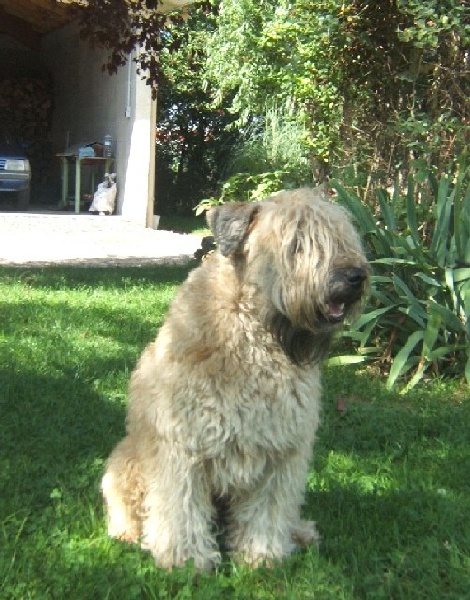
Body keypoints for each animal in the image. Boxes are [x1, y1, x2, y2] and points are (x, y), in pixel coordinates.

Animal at [101, 187, 369, 570]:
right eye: (297, 242)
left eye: (341, 235)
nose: (355, 276)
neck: (254, 336)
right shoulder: (184, 447)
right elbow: (181, 507)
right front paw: (187, 561)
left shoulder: (280, 451)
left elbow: (267, 511)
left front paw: (263, 555)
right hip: (125, 464)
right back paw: (126, 534)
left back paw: (299, 533)